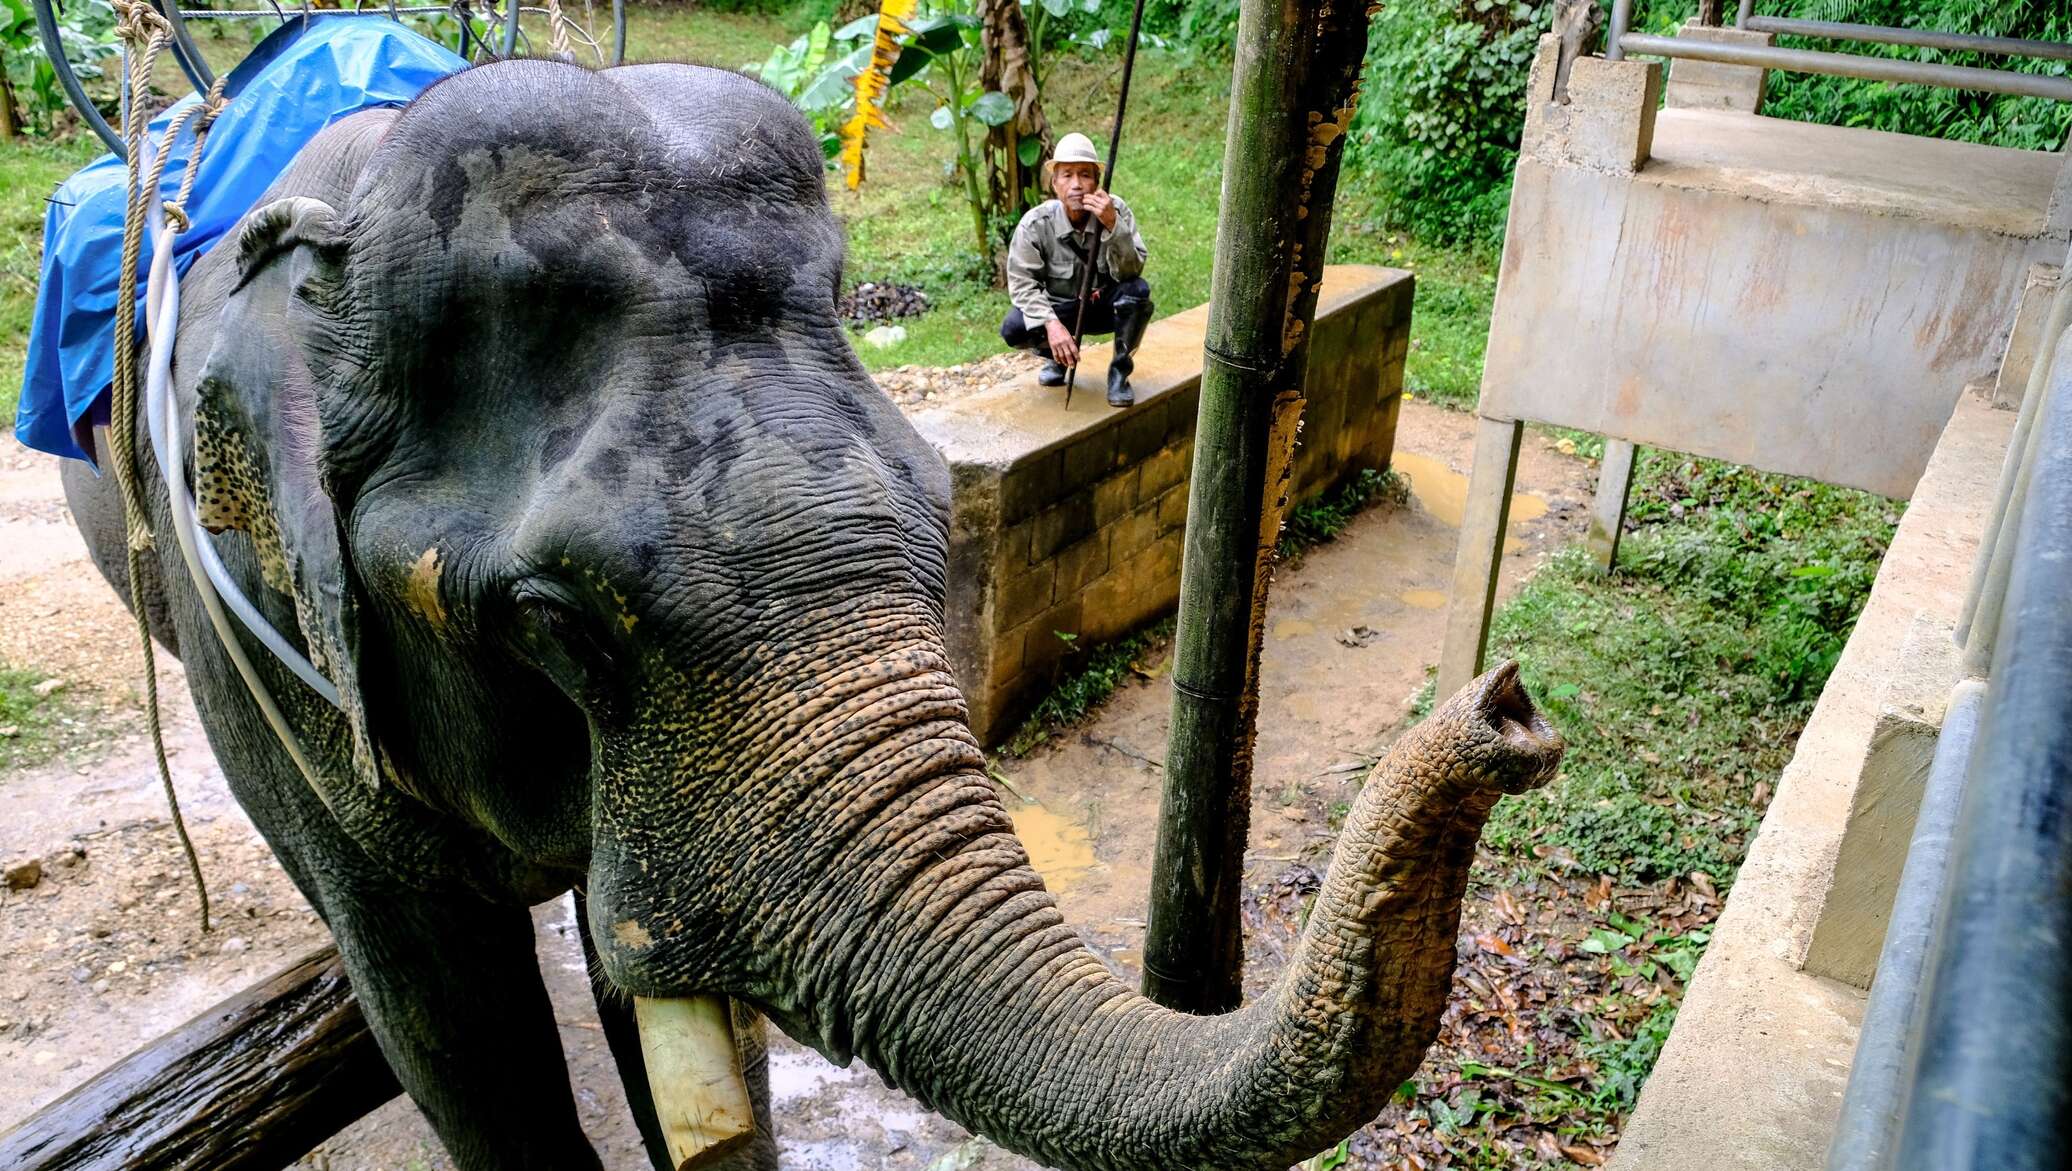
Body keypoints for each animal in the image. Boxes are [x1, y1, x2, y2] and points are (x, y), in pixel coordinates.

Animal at [56, 54, 1558, 1168]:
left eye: (936, 505)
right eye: (549, 619)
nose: (1510, 708)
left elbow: (655, 990)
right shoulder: (259, 647)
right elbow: (448, 1018)